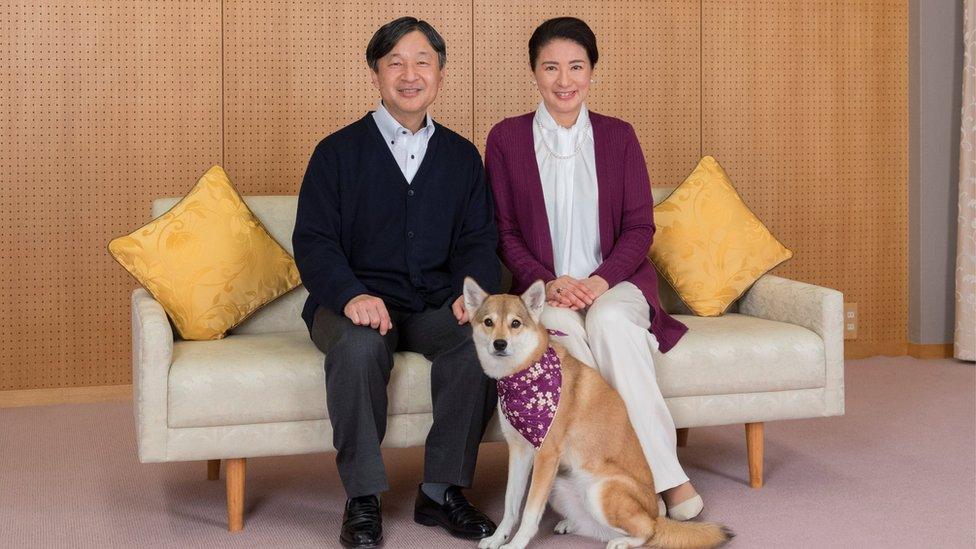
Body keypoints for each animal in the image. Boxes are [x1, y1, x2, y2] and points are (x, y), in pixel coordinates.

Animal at [466, 278, 732, 548]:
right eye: (488, 322)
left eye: (515, 323)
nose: (500, 344)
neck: (524, 374)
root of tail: (654, 513)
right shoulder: (519, 452)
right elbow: (510, 505)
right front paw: (498, 538)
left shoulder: (545, 456)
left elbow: (529, 513)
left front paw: (515, 544)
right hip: (560, 486)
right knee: (596, 525)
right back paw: (572, 524)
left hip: (600, 490)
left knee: (648, 531)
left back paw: (622, 541)